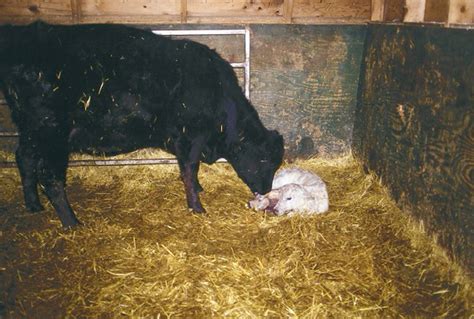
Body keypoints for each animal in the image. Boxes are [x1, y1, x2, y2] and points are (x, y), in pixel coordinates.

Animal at [0, 21, 284, 228]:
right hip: (52, 133)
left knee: (24, 158)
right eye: (263, 160)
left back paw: (34, 206)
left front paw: (199, 190)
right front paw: (197, 207)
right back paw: (72, 223)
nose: (265, 189)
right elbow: (189, 170)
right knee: (51, 178)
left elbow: (188, 170)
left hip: (31, 130)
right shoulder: (191, 136)